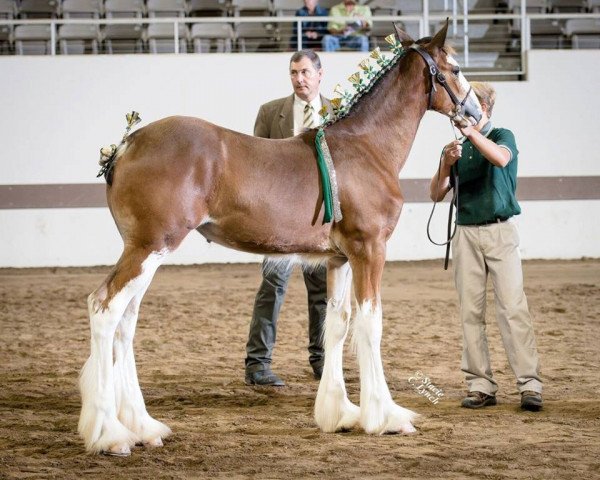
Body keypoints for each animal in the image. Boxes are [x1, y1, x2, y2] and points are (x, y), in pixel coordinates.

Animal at [79, 23, 482, 458]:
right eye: (455, 69)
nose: (478, 113)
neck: (366, 147)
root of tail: (124, 146)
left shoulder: (339, 259)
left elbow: (337, 324)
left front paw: (341, 413)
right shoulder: (370, 250)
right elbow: (370, 323)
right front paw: (386, 417)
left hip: (145, 253)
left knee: (125, 322)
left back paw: (143, 427)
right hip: (149, 247)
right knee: (105, 309)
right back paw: (111, 434)